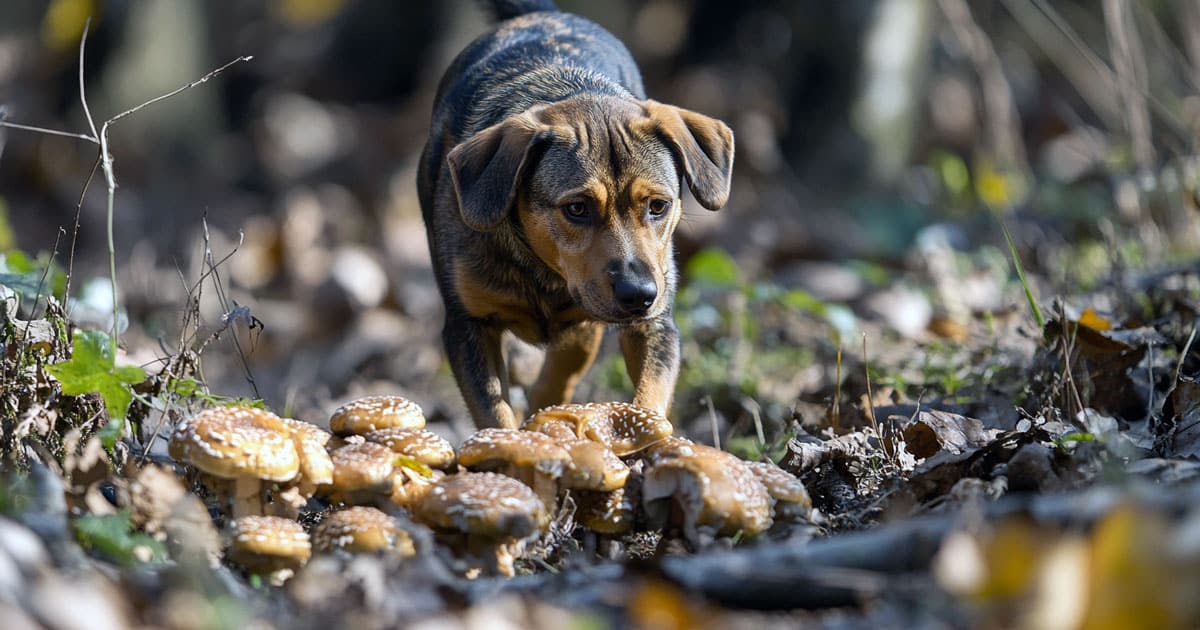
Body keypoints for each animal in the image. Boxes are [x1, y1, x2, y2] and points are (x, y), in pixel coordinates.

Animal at [422, 0, 734, 427]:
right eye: (577, 209)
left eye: (658, 206)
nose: (639, 294)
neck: (543, 270)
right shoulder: (468, 327)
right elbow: (494, 412)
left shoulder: (653, 324)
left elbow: (649, 396)